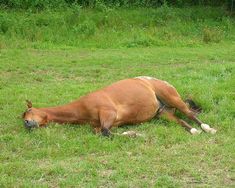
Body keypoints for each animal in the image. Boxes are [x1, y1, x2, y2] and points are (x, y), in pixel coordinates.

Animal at [22, 75, 217, 136]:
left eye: (28, 111)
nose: (27, 125)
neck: (82, 108)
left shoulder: (108, 114)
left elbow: (106, 132)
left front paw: (135, 134)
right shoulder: (104, 124)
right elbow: (104, 132)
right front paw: (133, 133)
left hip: (173, 98)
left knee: (191, 114)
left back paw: (208, 129)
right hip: (163, 113)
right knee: (183, 121)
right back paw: (193, 131)